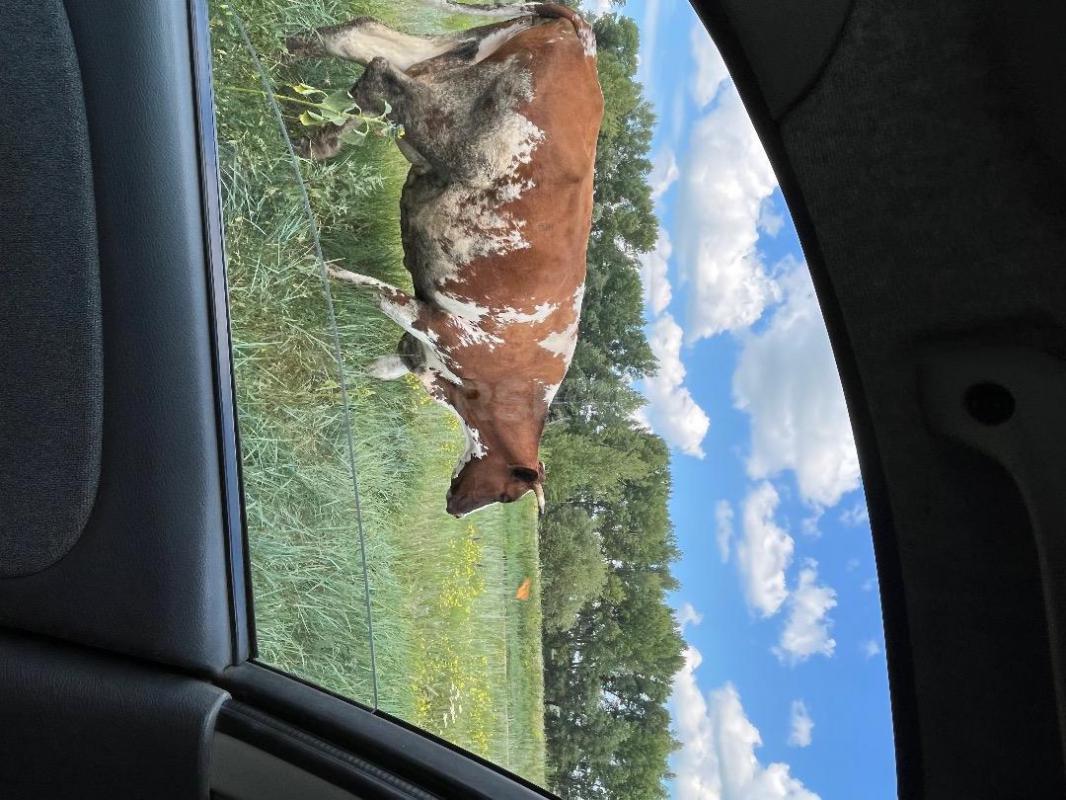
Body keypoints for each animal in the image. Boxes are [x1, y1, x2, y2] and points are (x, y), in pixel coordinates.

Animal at [285, 3, 604, 517]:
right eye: (505, 494)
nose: (455, 508)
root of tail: (584, 38)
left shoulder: (425, 351)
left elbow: (391, 356)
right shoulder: (443, 328)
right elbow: (380, 294)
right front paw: (317, 267)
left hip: (461, 57)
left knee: (364, 40)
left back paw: (307, 111)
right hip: (463, 138)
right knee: (384, 79)